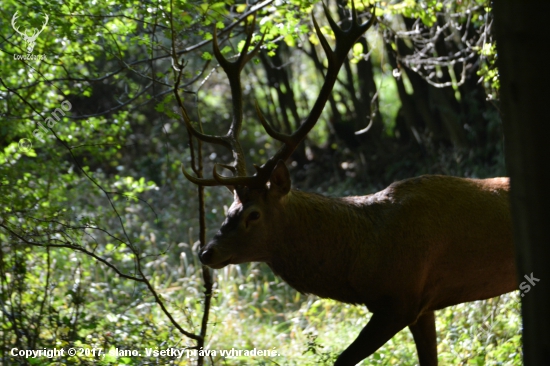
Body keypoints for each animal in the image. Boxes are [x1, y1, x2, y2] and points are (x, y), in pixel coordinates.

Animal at [179, 1, 520, 364]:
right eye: (229, 208)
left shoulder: (401, 301)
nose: (206, 252)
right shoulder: (423, 307)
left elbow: (342, 358)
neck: (360, 261)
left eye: (253, 214)